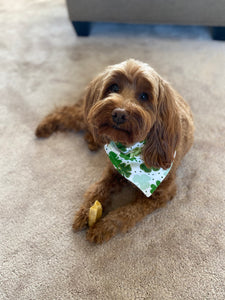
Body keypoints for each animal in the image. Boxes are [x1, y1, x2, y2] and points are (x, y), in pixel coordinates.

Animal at [36, 59, 194, 244]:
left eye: (144, 96)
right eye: (114, 87)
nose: (119, 114)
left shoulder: (160, 194)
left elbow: (126, 213)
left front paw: (103, 227)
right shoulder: (112, 171)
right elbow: (97, 189)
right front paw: (85, 211)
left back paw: (91, 140)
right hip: (89, 114)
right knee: (67, 112)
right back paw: (45, 126)